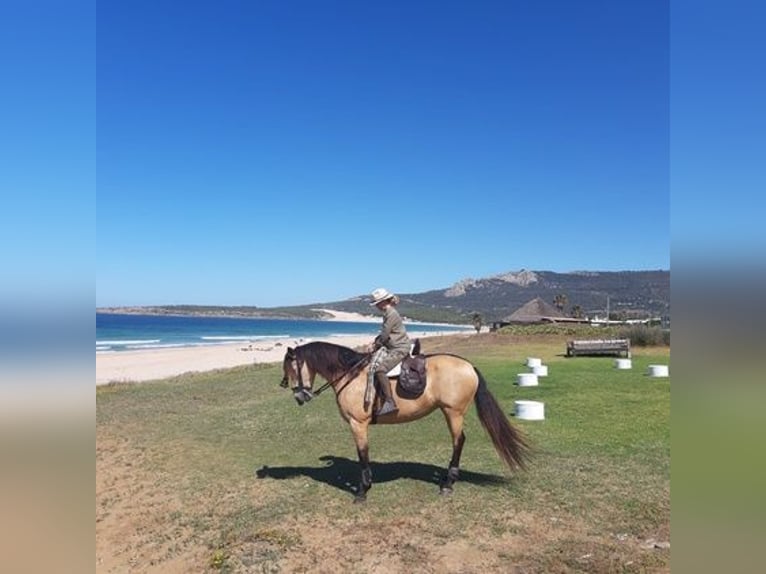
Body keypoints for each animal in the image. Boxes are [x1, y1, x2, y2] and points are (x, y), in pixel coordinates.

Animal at [282, 342, 536, 504]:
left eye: (292, 368)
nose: (299, 397)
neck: (351, 375)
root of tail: (468, 366)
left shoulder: (358, 424)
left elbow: (362, 454)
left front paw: (363, 491)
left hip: (453, 412)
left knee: (459, 441)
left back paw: (448, 484)